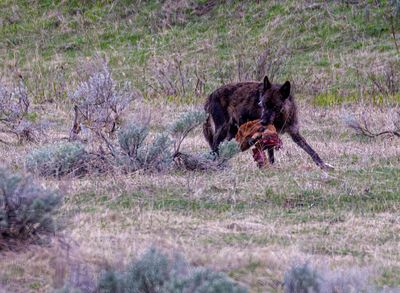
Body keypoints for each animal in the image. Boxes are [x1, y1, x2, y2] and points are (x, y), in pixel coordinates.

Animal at [203, 76, 332, 170]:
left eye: (275, 106)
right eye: (262, 104)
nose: (263, 121)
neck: (281, 117)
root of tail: (211, 95)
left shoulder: (294, 133)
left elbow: (311, 150)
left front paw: (323, 165)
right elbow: (270, 153)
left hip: (231, 133)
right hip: (223, 129)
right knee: (214, 146)